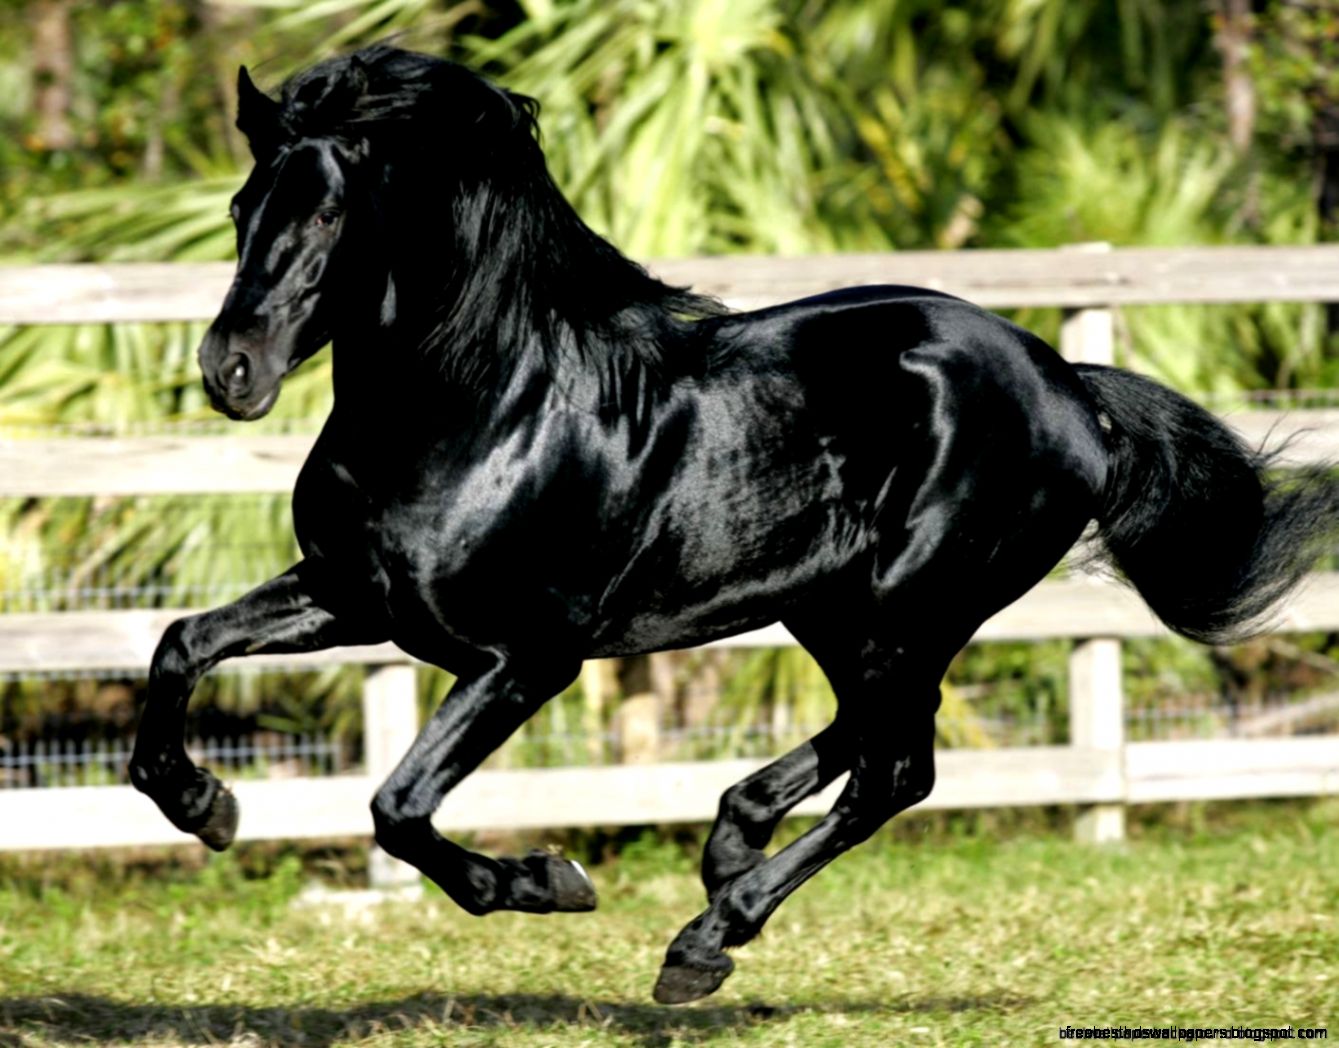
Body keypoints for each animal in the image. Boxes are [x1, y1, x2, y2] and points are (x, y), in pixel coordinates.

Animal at [128, 45, 1339, 1004]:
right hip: (845, 611)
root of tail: (1069, 389)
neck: (480, 404)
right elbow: (183, 643)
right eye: (240, 210)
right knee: (870, 737)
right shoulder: (355, 597)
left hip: (911, 603)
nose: (230, 371)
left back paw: (704, 940)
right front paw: (207, 805)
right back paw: (728, 840)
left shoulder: (528, 656)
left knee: (897, 770)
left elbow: (398, 804)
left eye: (329, 211)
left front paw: (548, 882)